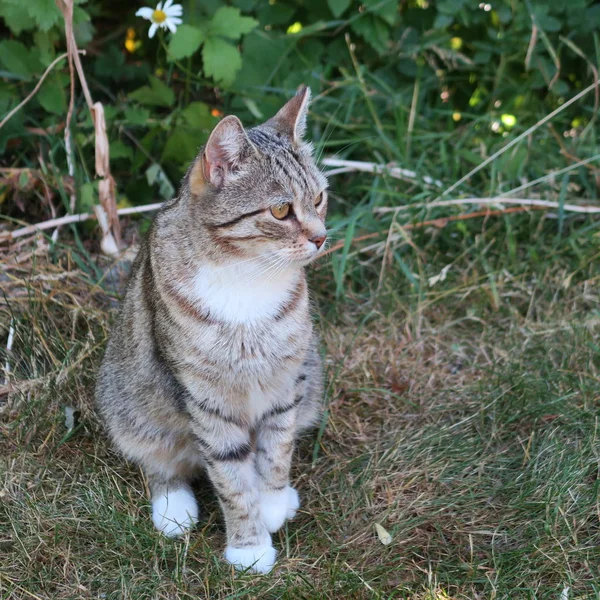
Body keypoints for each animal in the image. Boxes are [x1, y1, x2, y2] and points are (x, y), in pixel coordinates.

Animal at [96, 85, 328, 572]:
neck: (247, 277)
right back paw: (173, 506)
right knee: (158, 456)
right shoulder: (205, 396)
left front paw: (272, 500)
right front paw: (249, 546)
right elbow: (230, 475)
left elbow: (277, 447)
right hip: (126, 399)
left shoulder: (287, 378)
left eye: (318, 198)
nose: (320, 237)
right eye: (281, 210)